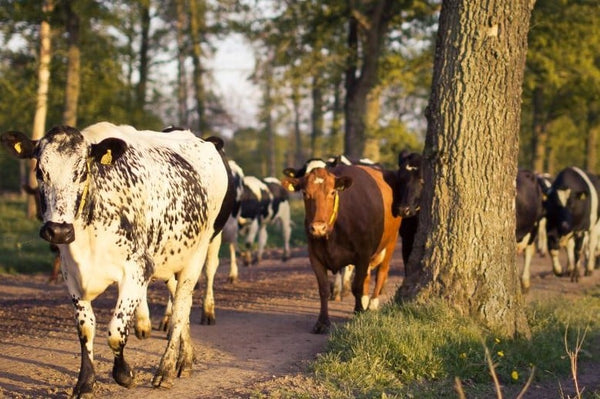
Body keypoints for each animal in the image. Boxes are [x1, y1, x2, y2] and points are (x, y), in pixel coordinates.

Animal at [1, 122, 234, 396]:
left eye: (82, 172)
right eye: (40, 171)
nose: (58, 231)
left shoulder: (136, 271)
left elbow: (115, 331)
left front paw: (125, 374)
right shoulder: (72, 276)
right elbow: (85, 329)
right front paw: (85, 383)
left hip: (198, 254)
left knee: (180, 309)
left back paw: (165, 370)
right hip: (169, 259)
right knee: (180, 303)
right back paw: (185, 360)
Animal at [282, 165, 404, 334]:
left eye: (332, 192)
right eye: (305, 193)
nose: (318, 228)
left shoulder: (363, 254)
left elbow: (357, 286)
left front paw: (359, 312)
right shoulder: (314, 257)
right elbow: (324, 289)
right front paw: (322, 322)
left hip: (390, 242)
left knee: (381, 272)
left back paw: (372, 303)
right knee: (367, 276)